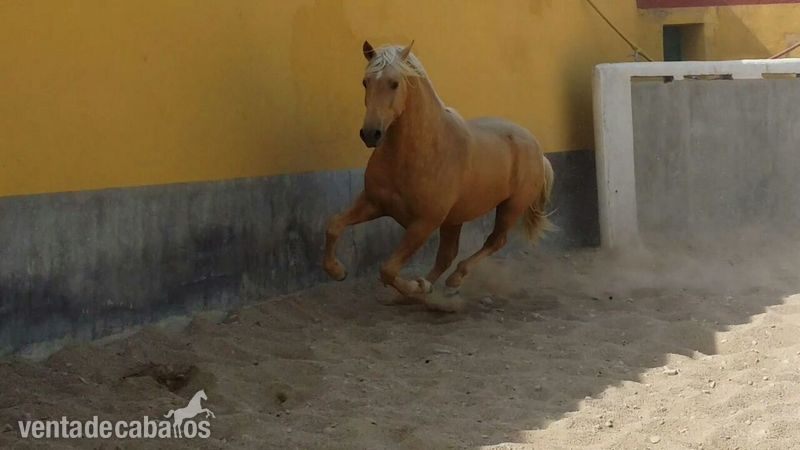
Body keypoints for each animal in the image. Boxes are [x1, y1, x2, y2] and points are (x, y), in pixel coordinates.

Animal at [324, 41, 553, 311]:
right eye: (365, 82)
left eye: (394, 83)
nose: (371, 134)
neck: (419, 151)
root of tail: (536, 147)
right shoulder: (373, 203)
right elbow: (334, 225)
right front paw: (338, 271)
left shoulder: (424, 222)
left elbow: (387, 270)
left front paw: (417, 287)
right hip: (455, 219)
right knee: (447, 255)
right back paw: (431, 289)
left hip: (511, 207)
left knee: (494, 242)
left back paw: (451, 281)